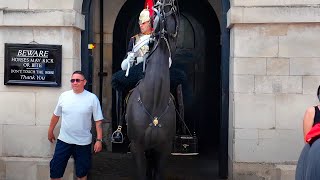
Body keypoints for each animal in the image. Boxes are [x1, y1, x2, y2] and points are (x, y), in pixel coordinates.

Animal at [125, 0, 180, 179]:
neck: (154, 101)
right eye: (156, 9)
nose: (166, 6)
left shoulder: (164, 149)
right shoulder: (137, 147)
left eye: (174, 10)